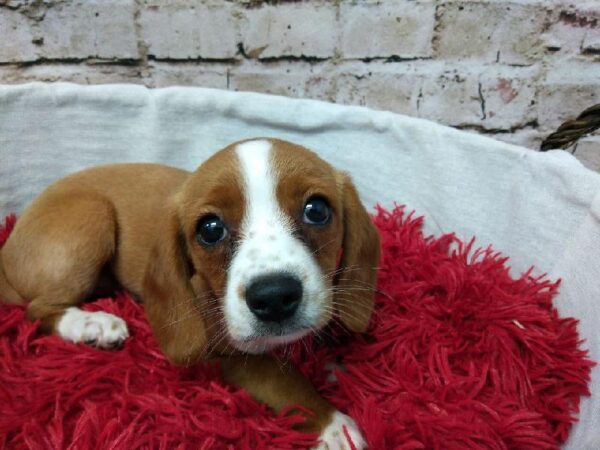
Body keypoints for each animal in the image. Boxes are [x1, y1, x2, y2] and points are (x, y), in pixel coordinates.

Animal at [0, 139, 380, 448]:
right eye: (210, 230)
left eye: (317, 210)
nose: (273, 297)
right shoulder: (222, 355)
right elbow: (280, 377)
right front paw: (332, 425)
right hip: (93, 215)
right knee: (37, 309)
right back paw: (92, 325)